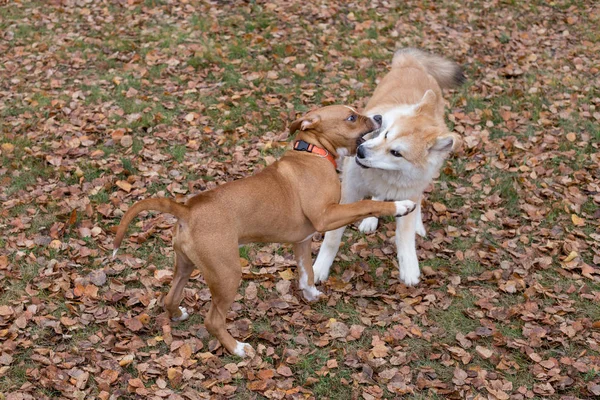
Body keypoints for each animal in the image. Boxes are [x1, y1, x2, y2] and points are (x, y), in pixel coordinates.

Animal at [112, 105, 414, 356]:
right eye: (351, 117)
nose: (379, 117)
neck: (313, 152)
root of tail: (187, 209)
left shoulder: (302, 241)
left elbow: (306, 273)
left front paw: (312, 295)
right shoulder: (326, 217)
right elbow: (365, 204)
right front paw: (401, 205)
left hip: (185, 265)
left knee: (170, 297)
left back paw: (178, 315)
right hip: (227, 273)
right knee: (213, 320)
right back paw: (238, 349)